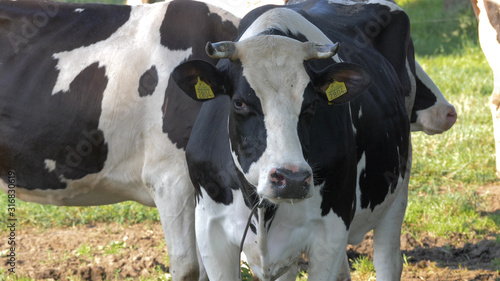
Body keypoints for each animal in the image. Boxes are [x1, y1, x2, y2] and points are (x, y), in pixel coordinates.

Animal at [172, 0, 418, 278]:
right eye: (239, 102)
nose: (291, 179)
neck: (262, 210)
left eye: (311, 105)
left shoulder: (332, 230)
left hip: (398, 188)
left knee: (388, 259)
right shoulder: (210, 230)